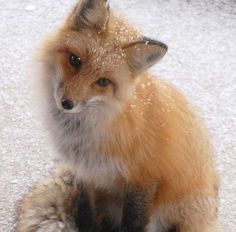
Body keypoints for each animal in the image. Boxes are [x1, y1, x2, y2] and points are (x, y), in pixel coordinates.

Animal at [16, 0, 219, 232]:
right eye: (75, 60)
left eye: (103, 82)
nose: (67, 103)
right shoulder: (87, 174)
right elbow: (87, 213)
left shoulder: (144, 178)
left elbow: (134, 222)